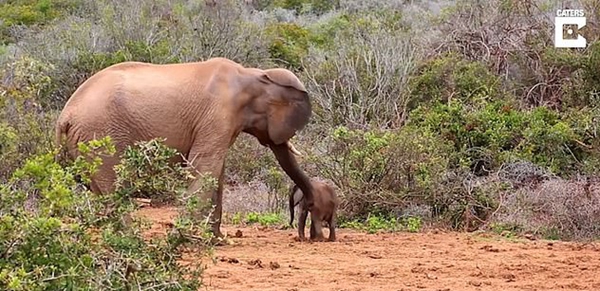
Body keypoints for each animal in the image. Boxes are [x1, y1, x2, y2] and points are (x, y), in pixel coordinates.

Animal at [55, 57, 316, 240]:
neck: (253, 74)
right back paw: (130, 238)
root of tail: (64, 116)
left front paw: (218, 239)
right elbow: (204, 167)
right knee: (114, 185)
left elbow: (216, 173)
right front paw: (186, 237)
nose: (310, 207)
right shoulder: (218, 114)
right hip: (100, 135)